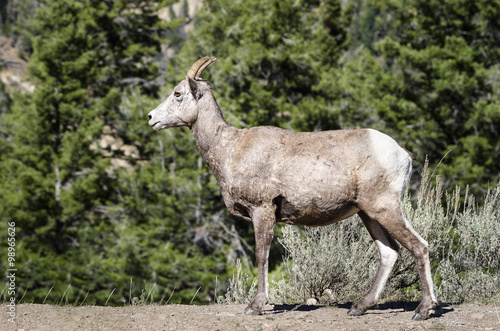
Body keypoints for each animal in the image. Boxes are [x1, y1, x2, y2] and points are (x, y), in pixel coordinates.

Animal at [147, 57, 438, 322]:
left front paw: (256, 306)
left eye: (177, 93)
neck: (229, 149)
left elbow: (261, 255)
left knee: (419, 246)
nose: (151, 118)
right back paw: (359, 307)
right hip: (368, 213)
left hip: (384, 207)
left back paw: (423, 311)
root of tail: (402, 153)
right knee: (389, 253)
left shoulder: (262, 210)